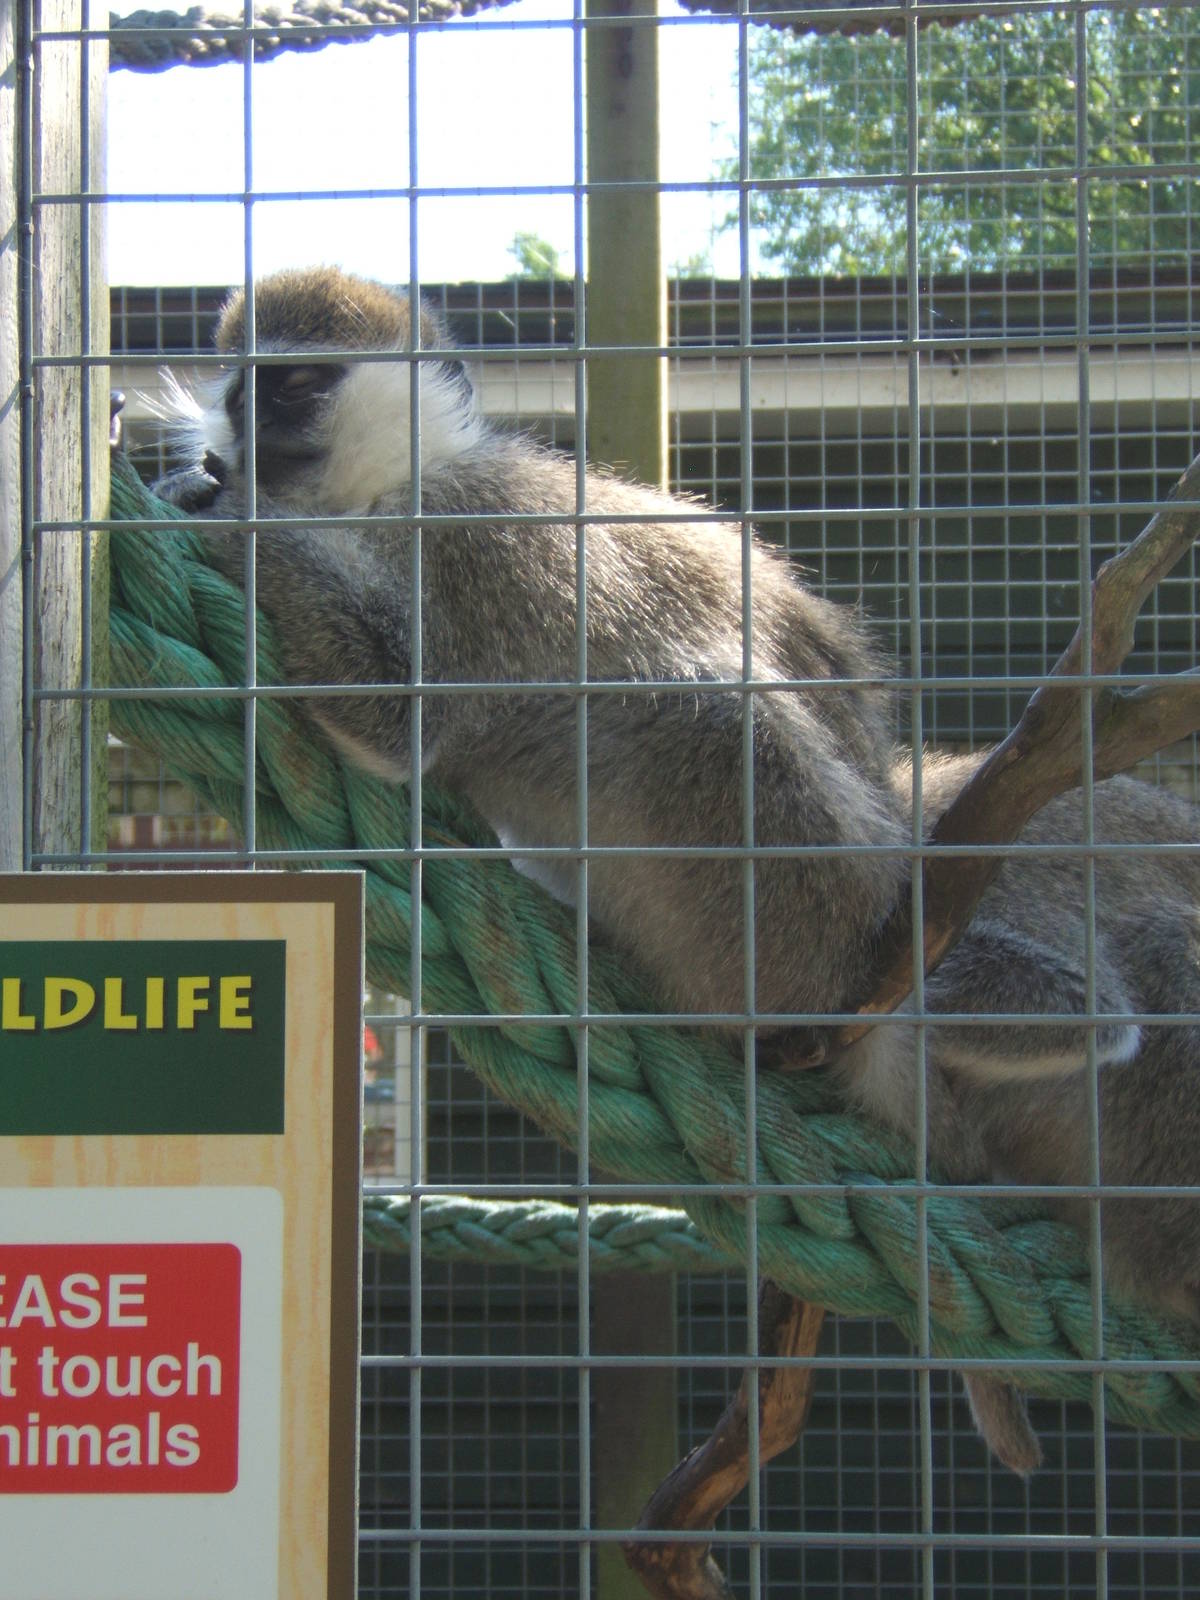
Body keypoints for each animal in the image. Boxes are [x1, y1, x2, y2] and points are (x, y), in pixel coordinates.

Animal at [153, 265, 1200, 1475]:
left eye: (302, 385)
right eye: (247, 391)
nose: (250, 438)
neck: (385, 496)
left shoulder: (477, 529)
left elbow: (399, 707)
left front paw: (216, 507)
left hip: (818, 894)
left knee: (706, 715)